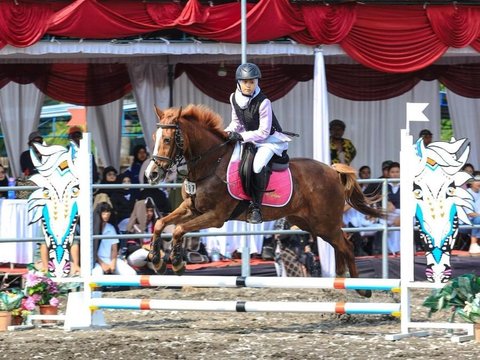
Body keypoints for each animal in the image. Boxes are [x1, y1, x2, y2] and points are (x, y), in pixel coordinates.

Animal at [144, 105, 384, 296]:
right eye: (155, 138)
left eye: (167, 139)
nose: (151, 174)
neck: (212, 164)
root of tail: (333, 171)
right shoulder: (191, 208)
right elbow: (161, 223)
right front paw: (157, 260)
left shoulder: (215, 217)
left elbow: (178, 229)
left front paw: (176, 263)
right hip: (313, 223)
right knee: (339, 245)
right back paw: (341, 281)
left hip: (324, 222)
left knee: (346, 246)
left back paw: (361, 289)